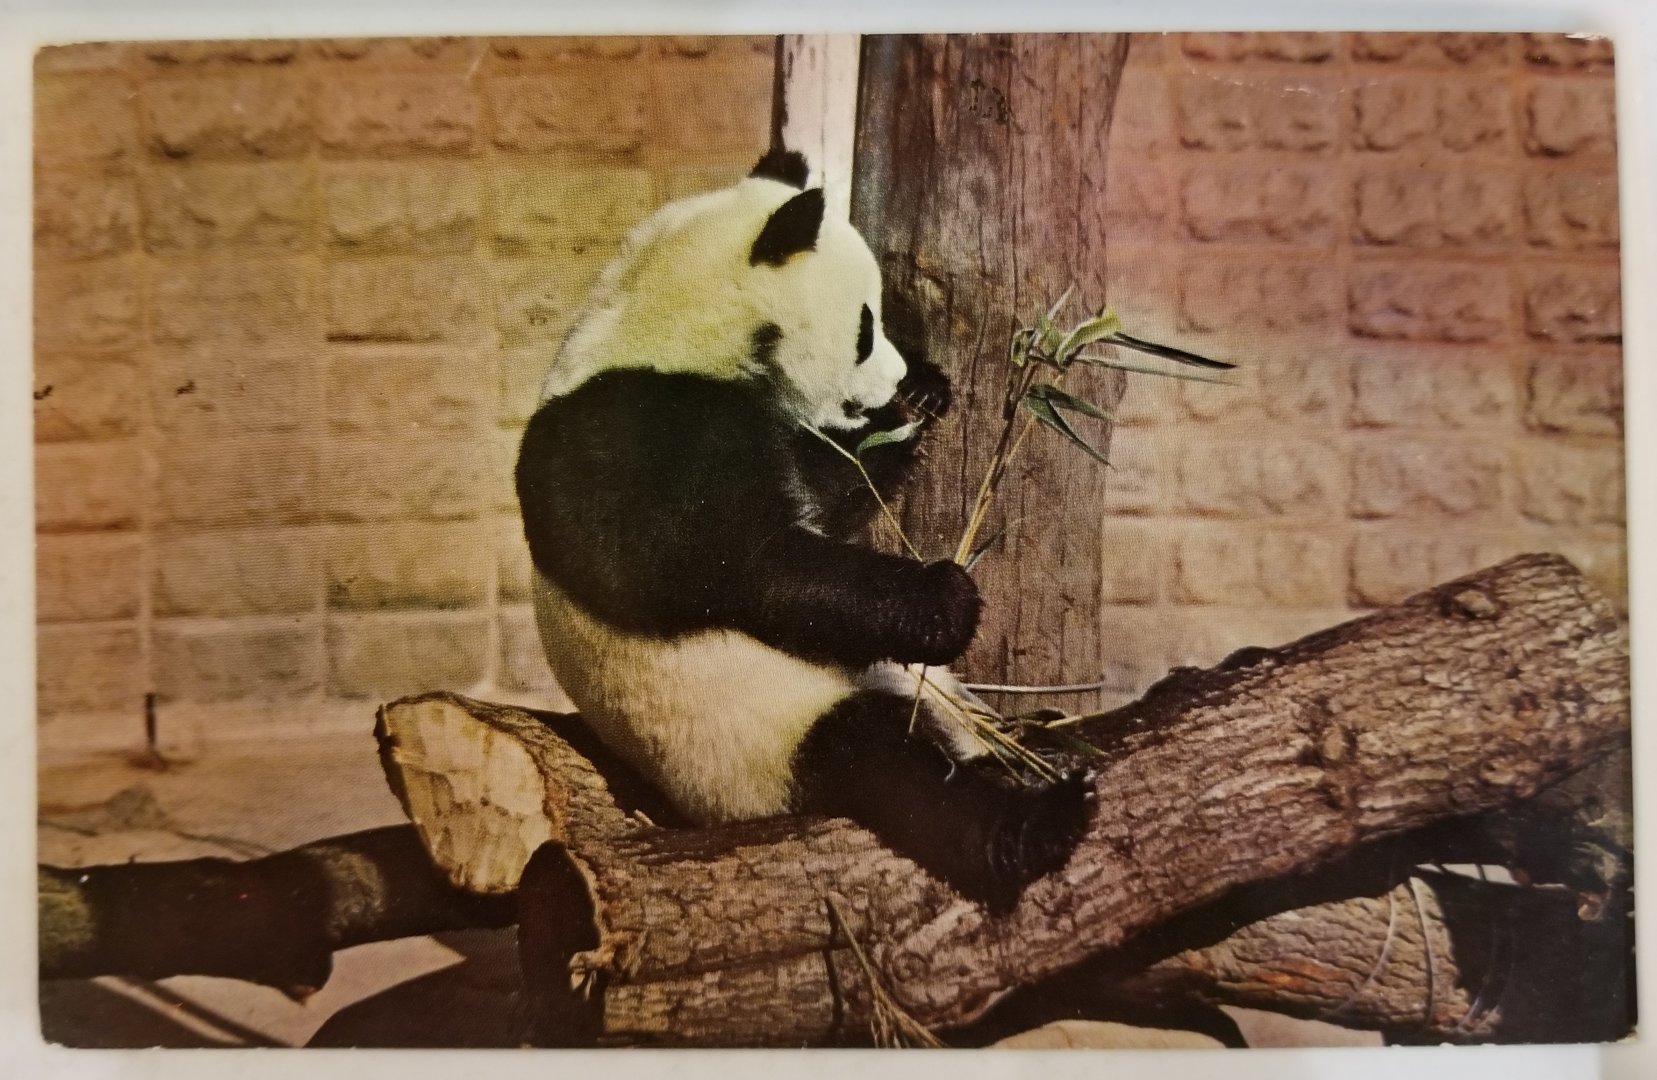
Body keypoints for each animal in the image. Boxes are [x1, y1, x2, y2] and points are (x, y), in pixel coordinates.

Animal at [515, 148, 1092, 911]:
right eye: (865, 328)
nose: (896, 379)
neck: (669, 323)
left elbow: (832, 487)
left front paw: (921, 399)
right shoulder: (636, 431)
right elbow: (745, 564)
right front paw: (948, 601)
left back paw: (1033, 735)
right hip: (758, 743)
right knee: (884, 761)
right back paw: (1034, 826)